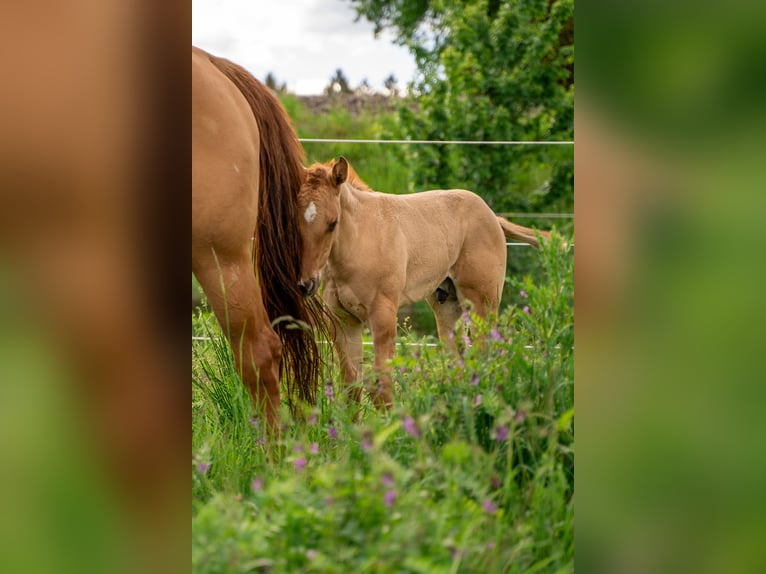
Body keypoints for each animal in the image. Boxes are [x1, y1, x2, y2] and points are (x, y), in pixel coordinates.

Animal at [296, 156, 549, 409]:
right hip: (447, 306)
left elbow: (380, 381)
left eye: (333, 223)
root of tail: (493, 216)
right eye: (295, 221)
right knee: (459, 361)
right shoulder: (343, 320)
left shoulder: (383, 316)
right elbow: (351, 383)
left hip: (482, 303)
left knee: (485, 354)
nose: (307, 283)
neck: (359, 241)